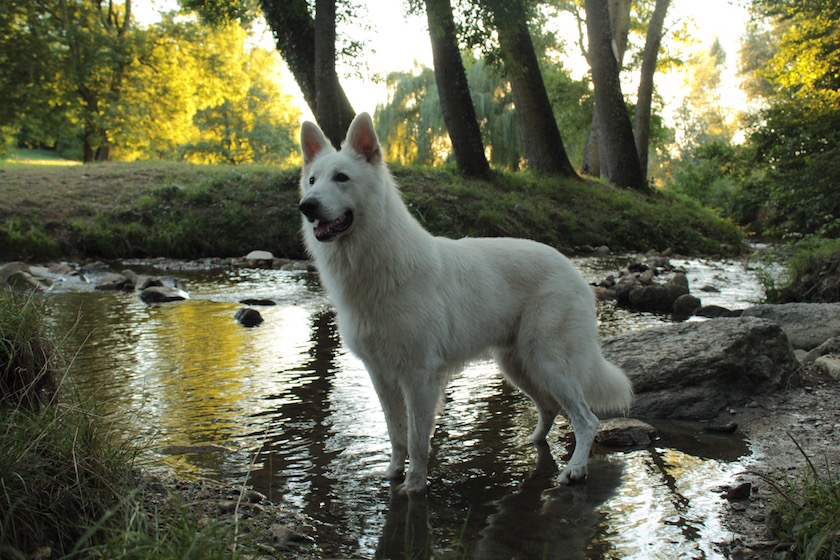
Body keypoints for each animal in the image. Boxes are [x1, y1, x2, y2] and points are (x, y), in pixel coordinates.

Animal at [298, 114, 632, 494]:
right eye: (312, 180)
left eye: (342, 178)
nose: (306, 206)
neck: (378, 266)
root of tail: (573, 270)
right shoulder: (380, 376)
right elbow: (396, 435)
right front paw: (393, 474)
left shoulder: (420, 377)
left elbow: (417, 440)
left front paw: (414, 486)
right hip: (517, 366)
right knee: (550, 408)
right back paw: (535, 444)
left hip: (549, 362)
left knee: (586, 419)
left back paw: (575, 469)